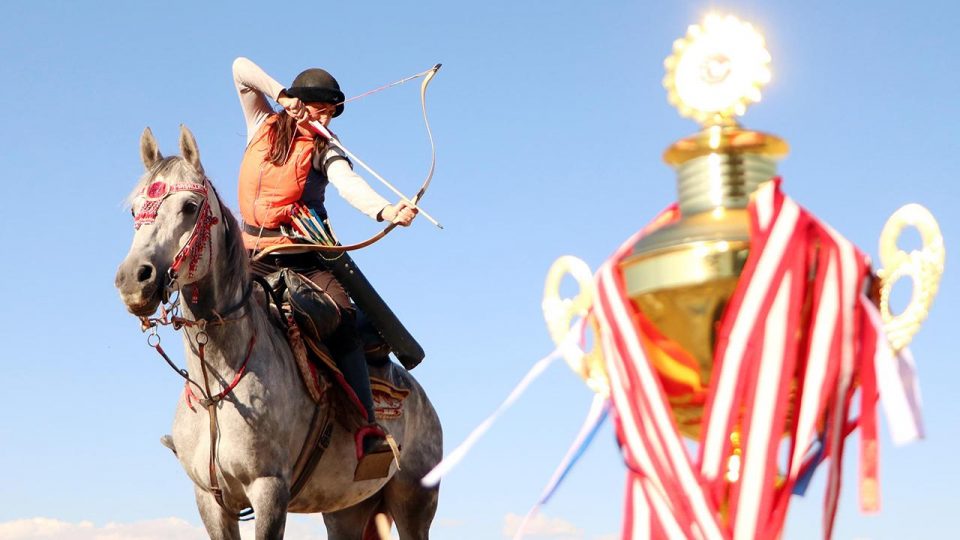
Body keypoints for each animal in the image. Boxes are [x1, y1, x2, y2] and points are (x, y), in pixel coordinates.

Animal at [115, 125, 442, 536]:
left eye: (189, 206)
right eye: (134, 209)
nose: (134, 279)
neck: (216, 390)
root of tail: (422, 398)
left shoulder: (269, 489)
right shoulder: (209, 501)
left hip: (414, 500)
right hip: (347, 509)